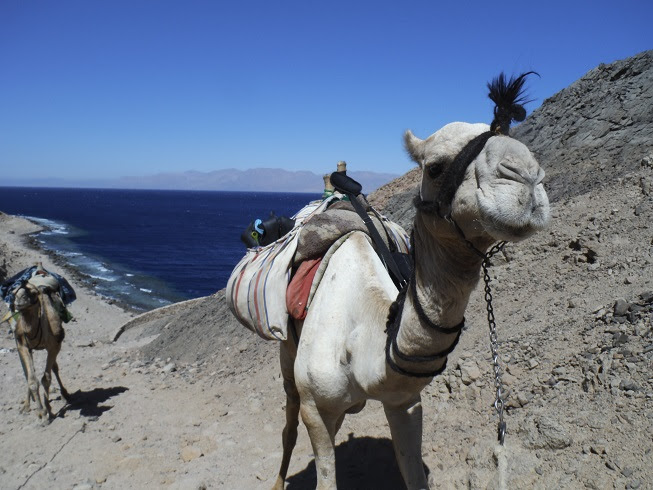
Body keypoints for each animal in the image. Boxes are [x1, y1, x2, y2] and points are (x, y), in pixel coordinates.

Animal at [270, 73, 552, 490]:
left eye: (523, 142)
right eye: (434, 167)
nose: (527, 177)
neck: (363, 343)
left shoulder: (404, 402)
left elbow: (413, 472)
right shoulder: (314, 408)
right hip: (289, 358)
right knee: (288, 425)